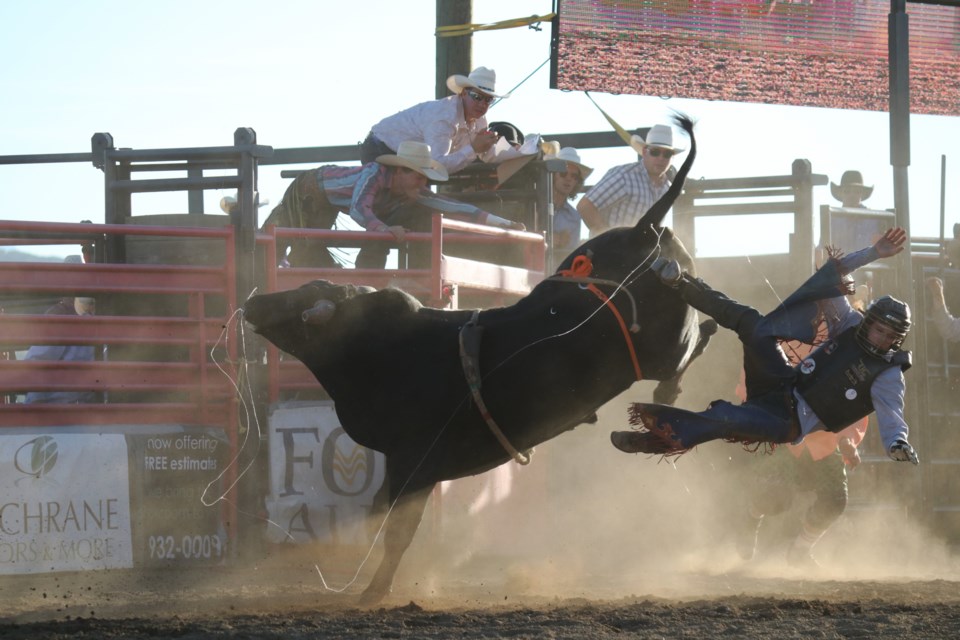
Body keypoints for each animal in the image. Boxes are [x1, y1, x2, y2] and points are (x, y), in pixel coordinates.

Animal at [244, 116, 716, 604]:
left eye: (300, 300)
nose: (253, 301)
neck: (375, 347)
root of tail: (642, 229)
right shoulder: (402, 463)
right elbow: (380, 514)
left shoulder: (415, 461)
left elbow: (397, 531)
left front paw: (374, 591)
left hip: (665, 344)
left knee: (691, 344)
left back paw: (673, 384)